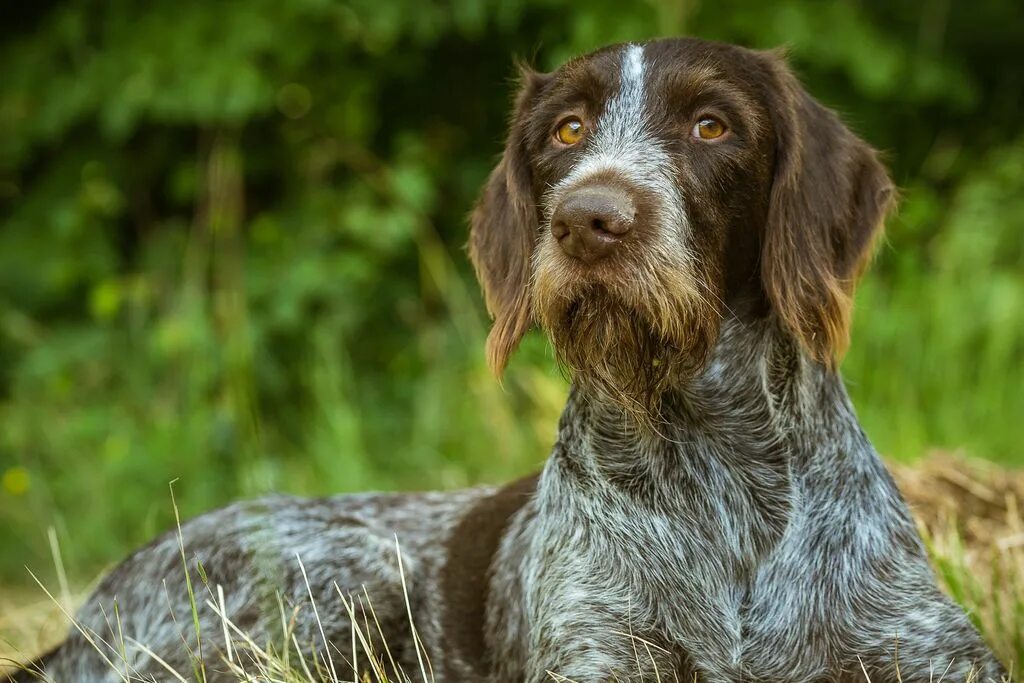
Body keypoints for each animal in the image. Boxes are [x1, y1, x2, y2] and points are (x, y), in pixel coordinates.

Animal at [8, 37, 1007, 683]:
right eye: (565, 131)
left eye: (712, 126)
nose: (589, 219)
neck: (718, 462)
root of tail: (84, 616)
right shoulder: (599, 659)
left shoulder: (938, 655)